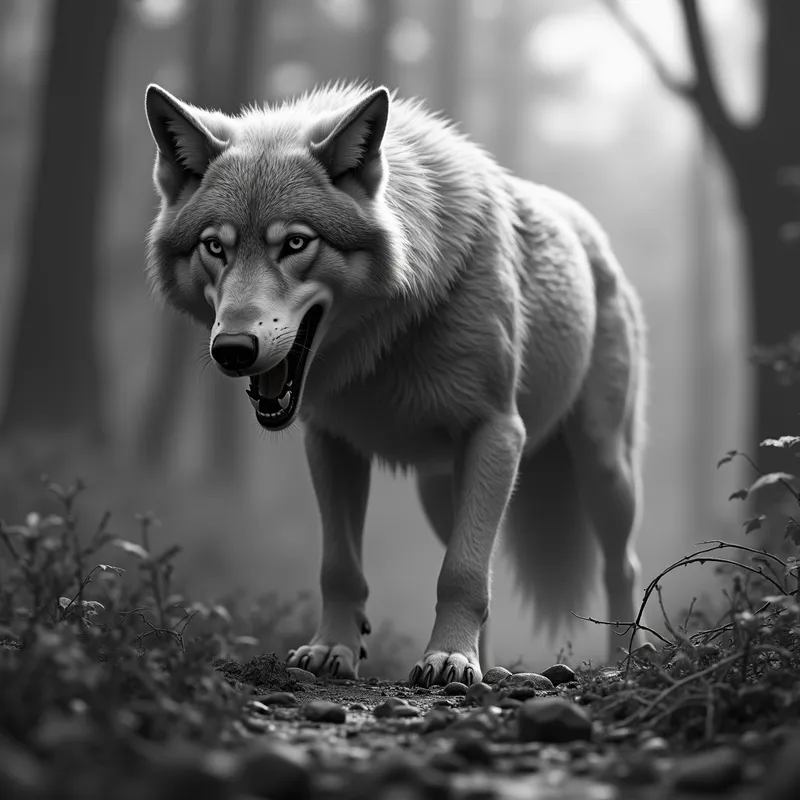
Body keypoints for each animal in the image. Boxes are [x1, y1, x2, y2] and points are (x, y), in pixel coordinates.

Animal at [143, 81, 648, 686]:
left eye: (295, 244)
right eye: (215, 247)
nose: (233, 350)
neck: (382, 345)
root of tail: (594, 235)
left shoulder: (498, 431)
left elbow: (461, 573)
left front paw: (448, 658)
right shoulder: (330, 441)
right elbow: (340, 567)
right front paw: (332, 650)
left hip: (602, 468)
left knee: (621, 564)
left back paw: (620, 664)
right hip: (440, 491)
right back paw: (489, 667)